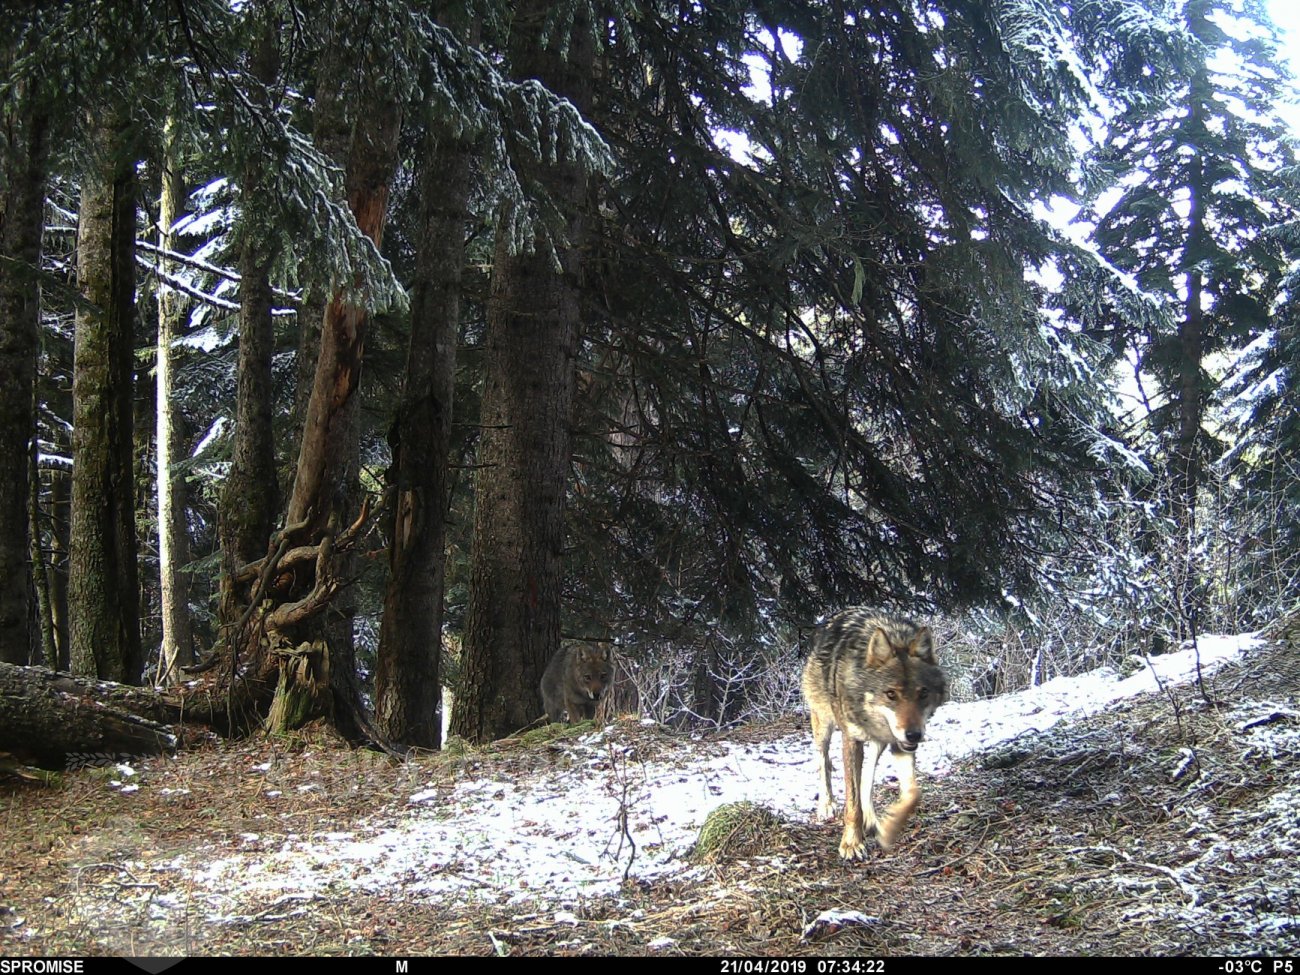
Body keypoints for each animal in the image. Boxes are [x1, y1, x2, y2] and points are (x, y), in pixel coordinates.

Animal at [795, 611, 951, 863]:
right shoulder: (851, 739)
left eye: (923, 693)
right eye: (891, 694)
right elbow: (852, 801)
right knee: (823, 761)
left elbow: (912, 794)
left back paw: (870, 817)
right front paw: (851, 843)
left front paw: (888, 829)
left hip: (879, 743)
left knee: (867, 772)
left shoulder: (899, 744)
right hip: (823, 724)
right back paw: (826, 806)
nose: (914, 735)